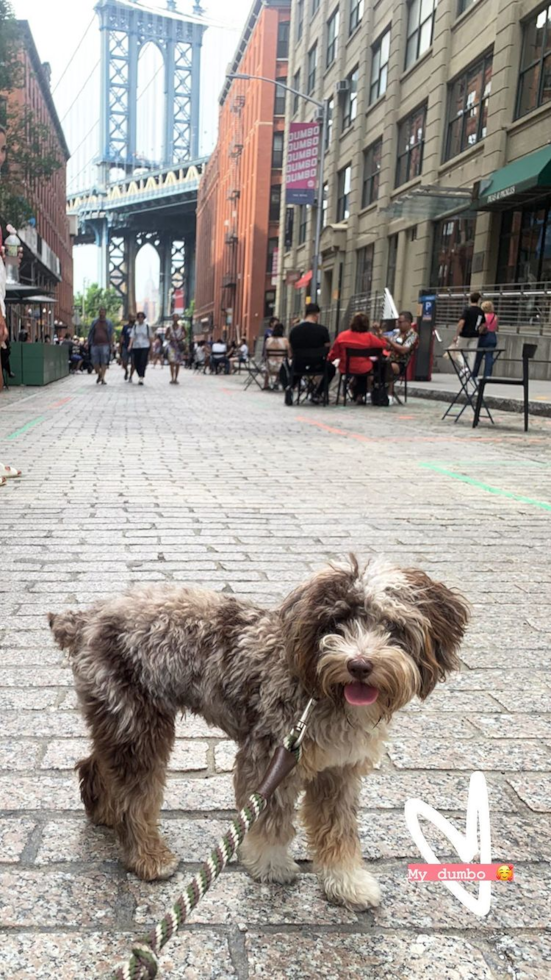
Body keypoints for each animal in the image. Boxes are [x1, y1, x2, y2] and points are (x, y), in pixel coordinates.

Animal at [48, 560, 470, 912]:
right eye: (337, 623)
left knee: (95, 764)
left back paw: (103, 811)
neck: (321, 691)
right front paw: (270, 865)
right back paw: (148, 856)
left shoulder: (339, 772)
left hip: (122, 719)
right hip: (139, 723)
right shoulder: (270, 755)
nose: (360, 664)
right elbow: (270, 820)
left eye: (393, 628)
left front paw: (347, 882)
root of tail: (84, 618)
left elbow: (339, 832)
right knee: (135, 796)